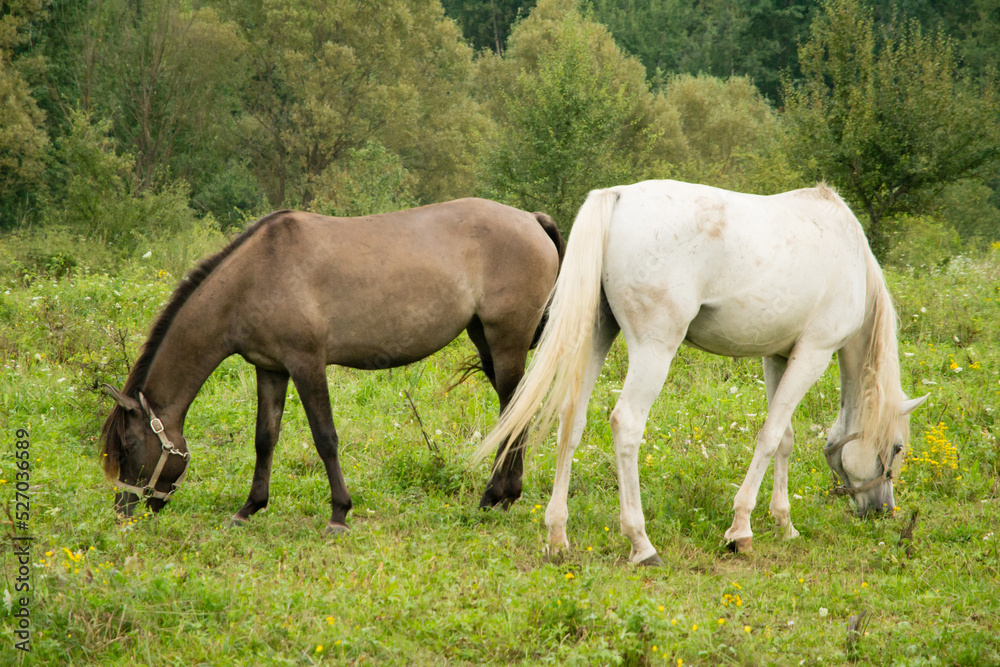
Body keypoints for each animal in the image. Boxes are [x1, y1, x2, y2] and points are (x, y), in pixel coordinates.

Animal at [100, 198, 564, 532]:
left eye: (129, 447)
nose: (125, 513)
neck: (256, 274)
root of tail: (531, 218)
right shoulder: (271, 368)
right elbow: (265, 438)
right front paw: (250, 507)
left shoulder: (307, 364)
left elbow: (326, 438)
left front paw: (339, 513)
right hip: (485, 339)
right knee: (515, 410)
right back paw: (504, 495)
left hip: (505, 342)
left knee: (515, 413)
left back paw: (495, 495)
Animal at [476, 180, 928, 568]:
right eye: (897, 447)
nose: (883, 510)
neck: (851, 256)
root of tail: (618, 195)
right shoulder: (813, 355)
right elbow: (769, 437)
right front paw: (741, 530)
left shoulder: (778, 357)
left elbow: (784, 438)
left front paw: (784, 523)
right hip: (655, 349)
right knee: (626, 424)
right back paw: (641, 543)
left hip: (597, 335)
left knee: (572, 420)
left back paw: (557, 535)